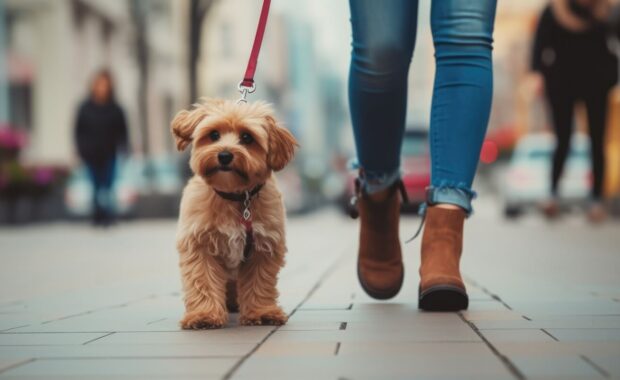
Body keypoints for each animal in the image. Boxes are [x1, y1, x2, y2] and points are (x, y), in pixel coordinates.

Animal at [168, 98, 296, 330]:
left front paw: (261, 312)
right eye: (214, 135)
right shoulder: (198, 244)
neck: (235, 196)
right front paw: (204, 315)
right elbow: (202, 280)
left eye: (247, 137)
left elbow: (260, 283)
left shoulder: (263, 246)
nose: (225, 155)